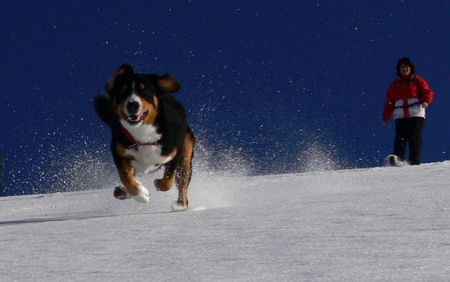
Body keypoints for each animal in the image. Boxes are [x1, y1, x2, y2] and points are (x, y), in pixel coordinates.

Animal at [94, 65, 194, 208]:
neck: (144, 136)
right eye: (122, 91)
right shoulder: (119, 152)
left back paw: (180, 205)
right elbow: (125, 176)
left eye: (144, 91)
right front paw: (141, 194)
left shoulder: (174, 154)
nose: (132, 105)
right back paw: (122, 192)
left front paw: (157, 184)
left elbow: (168, 180)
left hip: (186, 154)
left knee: (182, 185)